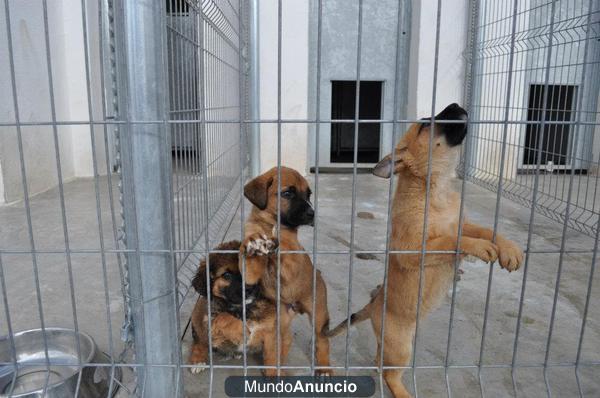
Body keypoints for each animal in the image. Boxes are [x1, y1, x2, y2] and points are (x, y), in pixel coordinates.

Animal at [185, 239, 292, 376]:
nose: (248, 289)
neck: (246, 307)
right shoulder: (210, 321)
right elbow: (224, 318)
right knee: (199, 342)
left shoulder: (271, 331)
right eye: (226, 275)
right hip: (197, 319)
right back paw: (198, 360)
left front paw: (273, 374)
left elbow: (272, 355)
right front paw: (242, 331)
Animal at [240, 166, 332, 374]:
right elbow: (250, 254)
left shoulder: (292, 265)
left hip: (318, 312)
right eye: (288, 193)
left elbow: (283, 251)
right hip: (280, 316)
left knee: (322, 339)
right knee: (283, 341)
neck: (269, 225)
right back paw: (274, 367)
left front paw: (274, 244)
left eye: (308, 194)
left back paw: (323, 367)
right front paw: (255, 242)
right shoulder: (250, 274)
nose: (312, 214)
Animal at [326, 103, 524, 398]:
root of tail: (373, 304)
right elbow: (452, 240)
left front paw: (509, 248)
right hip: (401, 347)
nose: (456, 105)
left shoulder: (463, 222)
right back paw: (403, 393)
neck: (435, 188)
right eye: (424, 124)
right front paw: (480, 248)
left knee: (380, 362)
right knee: (390, 375)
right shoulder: (414, 248)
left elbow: (487, 229)